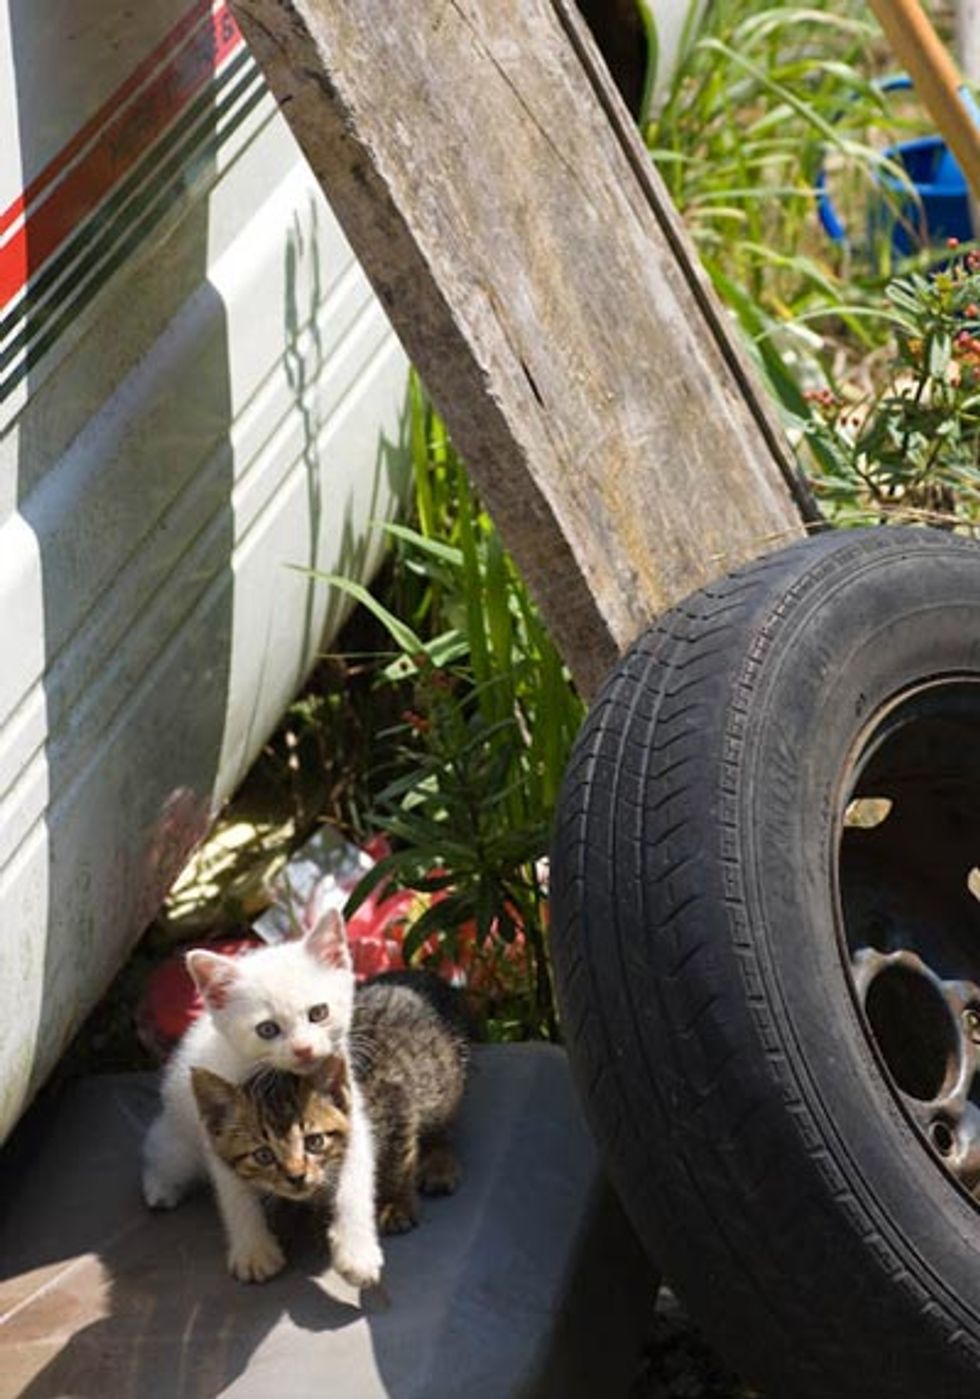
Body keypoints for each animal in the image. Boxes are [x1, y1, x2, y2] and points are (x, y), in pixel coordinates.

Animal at [140, 906, 383, 1287]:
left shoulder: (347, 1112)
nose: (303, 1049)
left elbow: (355, 1182)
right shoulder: (223, 1130)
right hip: (180, 1138)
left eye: (318, 1013)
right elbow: (236, 1193)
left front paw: (356, 1251)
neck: (281, 1079)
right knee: (161, 1148)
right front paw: (254, 1251)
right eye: (267, 1029)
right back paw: (160, 1185)